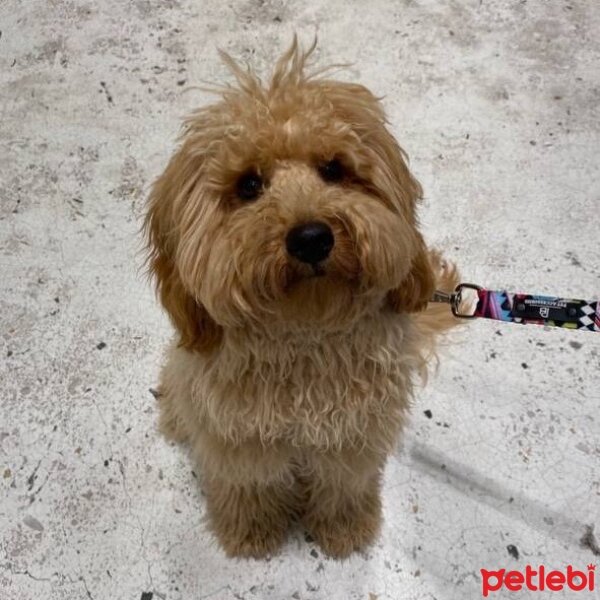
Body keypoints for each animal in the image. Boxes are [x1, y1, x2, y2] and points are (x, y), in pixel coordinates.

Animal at [145, 41, 460, 556]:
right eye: (249, 185)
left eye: (334, 169)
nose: (312, 239)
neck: (304, 338)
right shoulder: (239, 435)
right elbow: (248, 485)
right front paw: (251, 531)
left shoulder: (353, 433)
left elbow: (343, 483)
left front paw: (345, 527)